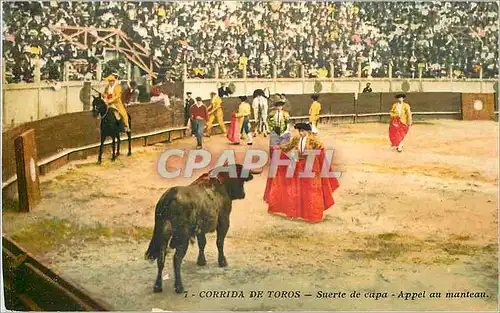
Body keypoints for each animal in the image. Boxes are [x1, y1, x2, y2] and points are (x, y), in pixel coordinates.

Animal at [145, 163, 260, 292]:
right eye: (241, 179)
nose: (243, 194)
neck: (221, 183)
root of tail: (169, 197)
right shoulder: (224, 221)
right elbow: (219, 242)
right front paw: (222, 262)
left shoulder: (200, 229)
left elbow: (202, 243)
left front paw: (201, 261)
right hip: (182, 237)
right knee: (177, 259)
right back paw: (179, 286)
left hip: (163, 235)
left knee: (161, 258)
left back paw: (157, 286)